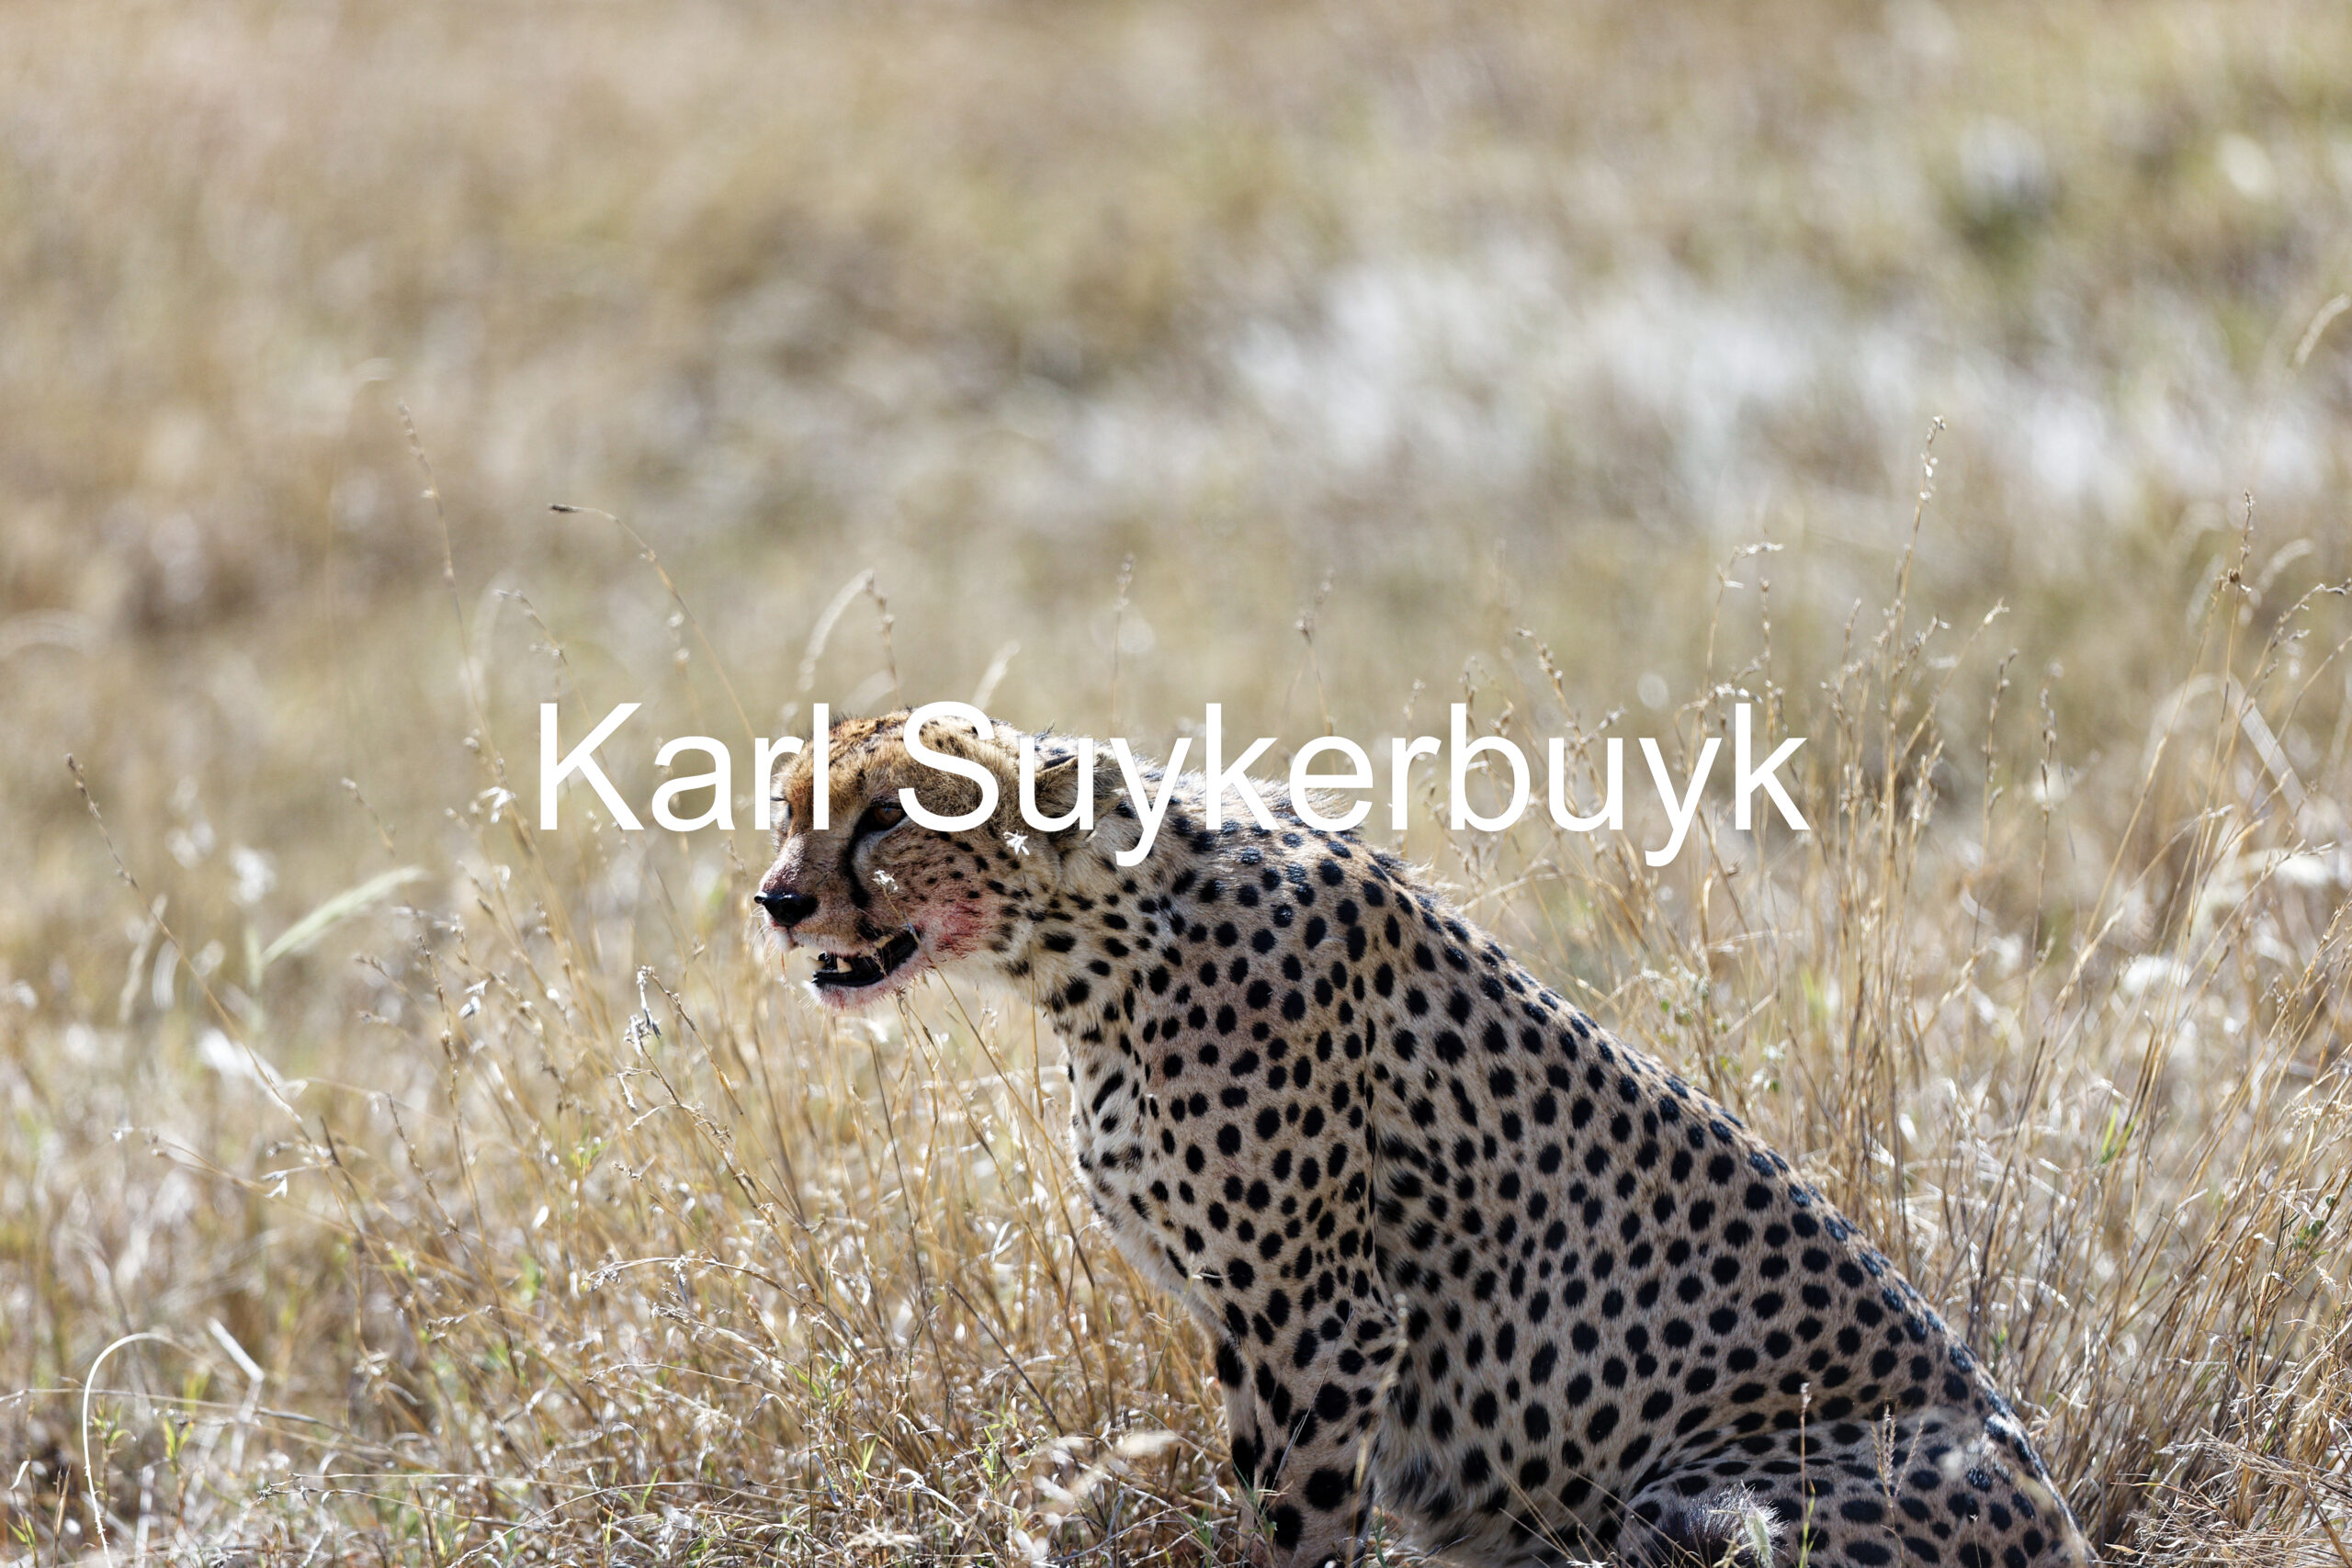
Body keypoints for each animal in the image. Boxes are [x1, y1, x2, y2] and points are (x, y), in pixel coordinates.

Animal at [754, 708, 2094, 1568]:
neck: (1098, 947)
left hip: (1705, 1503)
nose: (776, 898)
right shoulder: (1256, 1322)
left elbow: (1300, 1522)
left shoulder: (1322, 1314)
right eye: (787, 810)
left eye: (887, 816)